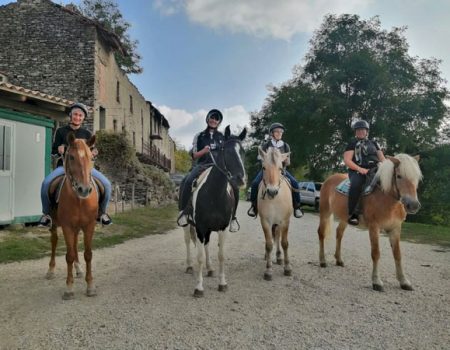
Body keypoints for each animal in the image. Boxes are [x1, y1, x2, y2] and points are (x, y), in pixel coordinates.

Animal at [45, 133, 98, 300]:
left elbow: (88, 254)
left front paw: (90, 286)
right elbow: (69, 255)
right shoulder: (67, 226)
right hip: (55, 225)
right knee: (54, 242)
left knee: (74, 245)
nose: (84, 189)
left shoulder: (89, 226)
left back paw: (79, 269)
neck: (79, 200)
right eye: (72, 157)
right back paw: (50, 270)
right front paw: (69, 288)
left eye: (91, 157)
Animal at [182, 124, 246, 296]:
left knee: (206, 244)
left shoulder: (222, 228)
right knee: (188, 241)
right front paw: (198, 287)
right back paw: (189, 266)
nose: (240, 179)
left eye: (243, 151)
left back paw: (210, 268)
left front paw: (222, 283)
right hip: (188, 224)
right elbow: (199, 257)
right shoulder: (200, 227)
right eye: (226, 150)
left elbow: (221, 255)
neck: (214, 194)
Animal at [258, 146, 294, 280]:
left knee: (278, 236)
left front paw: (287, 268)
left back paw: (279, 257)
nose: (272, 191)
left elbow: (285, 243)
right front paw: (268, 270)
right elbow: (269, 244)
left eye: (280, 168)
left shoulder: (285, 221)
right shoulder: (265, 222)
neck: (275, 199)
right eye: (263, 167)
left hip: (279, 223)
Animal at [316, 154, 422, 292]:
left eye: (417, 178)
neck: (385, 197)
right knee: (321, 233)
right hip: (325, 212)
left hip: (344, 218)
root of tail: (329, 179)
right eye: (399, 176)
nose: (413, 205)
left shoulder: (395, 228)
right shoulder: (374, 227)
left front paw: (404, 281)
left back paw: (339, 260)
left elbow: (398, 254)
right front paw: (377, 282)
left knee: (339, 233)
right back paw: (322, 261)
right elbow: (376, 253)